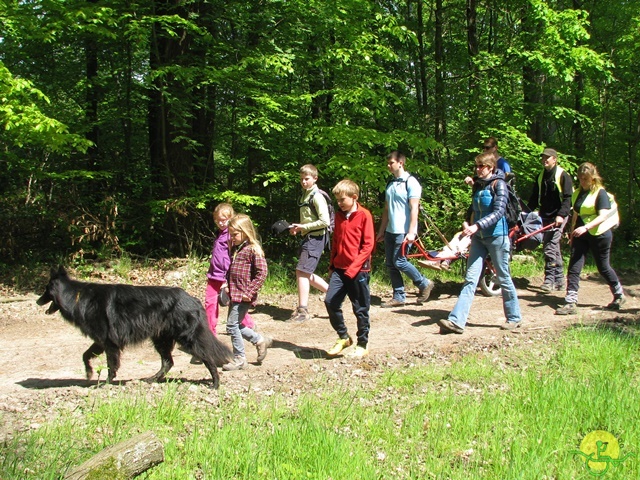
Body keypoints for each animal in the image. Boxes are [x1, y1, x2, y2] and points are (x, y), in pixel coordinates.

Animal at [37, 268, 232, 388]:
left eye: (46, 290)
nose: (38, 301)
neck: (77, 297)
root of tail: (193, 299)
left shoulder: (109, 343)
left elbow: (111, 365)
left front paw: (106, 382)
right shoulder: (100, 342)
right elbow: (85, 356)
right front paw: (89, 373)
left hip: (187, 339)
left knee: (207, 357)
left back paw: (215, 383)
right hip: (161, 340)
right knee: (168, 362)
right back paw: (152, 379)